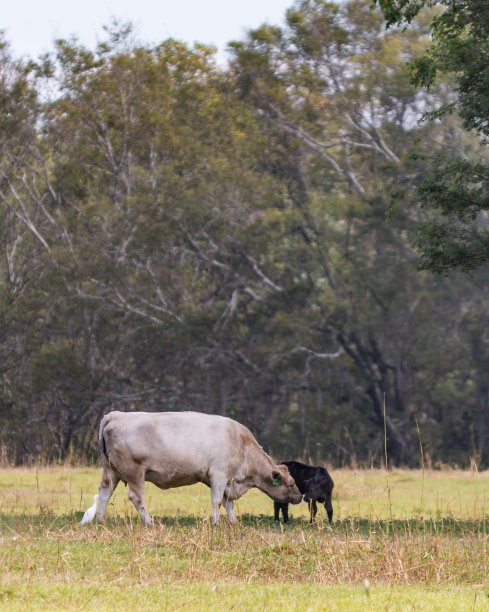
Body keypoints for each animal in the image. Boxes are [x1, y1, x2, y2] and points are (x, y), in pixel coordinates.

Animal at [87, 408, 302, 524]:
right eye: (292, 483)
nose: (300, 496)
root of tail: (116, 415)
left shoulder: (228, 480)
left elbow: (228, 502)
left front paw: (232, 521)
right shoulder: (219, 475)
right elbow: (218, 501)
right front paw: (216, 522)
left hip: (112, 470)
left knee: (105, 491)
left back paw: (100, 520)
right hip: (134, 472)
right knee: (136, 497)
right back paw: (149, 521)